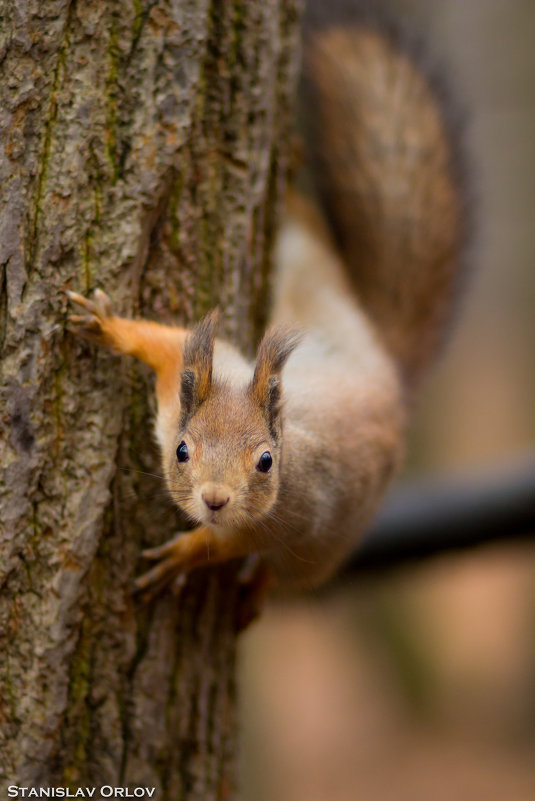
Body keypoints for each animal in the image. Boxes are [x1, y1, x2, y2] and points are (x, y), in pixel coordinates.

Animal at [68, 1, 468, 608]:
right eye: (181, 450)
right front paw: (106, 324)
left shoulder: (291, 517)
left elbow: (226, 545)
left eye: (265, 462)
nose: (214, 499)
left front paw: (187, 554)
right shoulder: (184, 380)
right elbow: (162, 342)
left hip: (325, 547)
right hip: (309, 272)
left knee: (278, 575)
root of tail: (387, 376)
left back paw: (252, 595)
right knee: (307, 229)